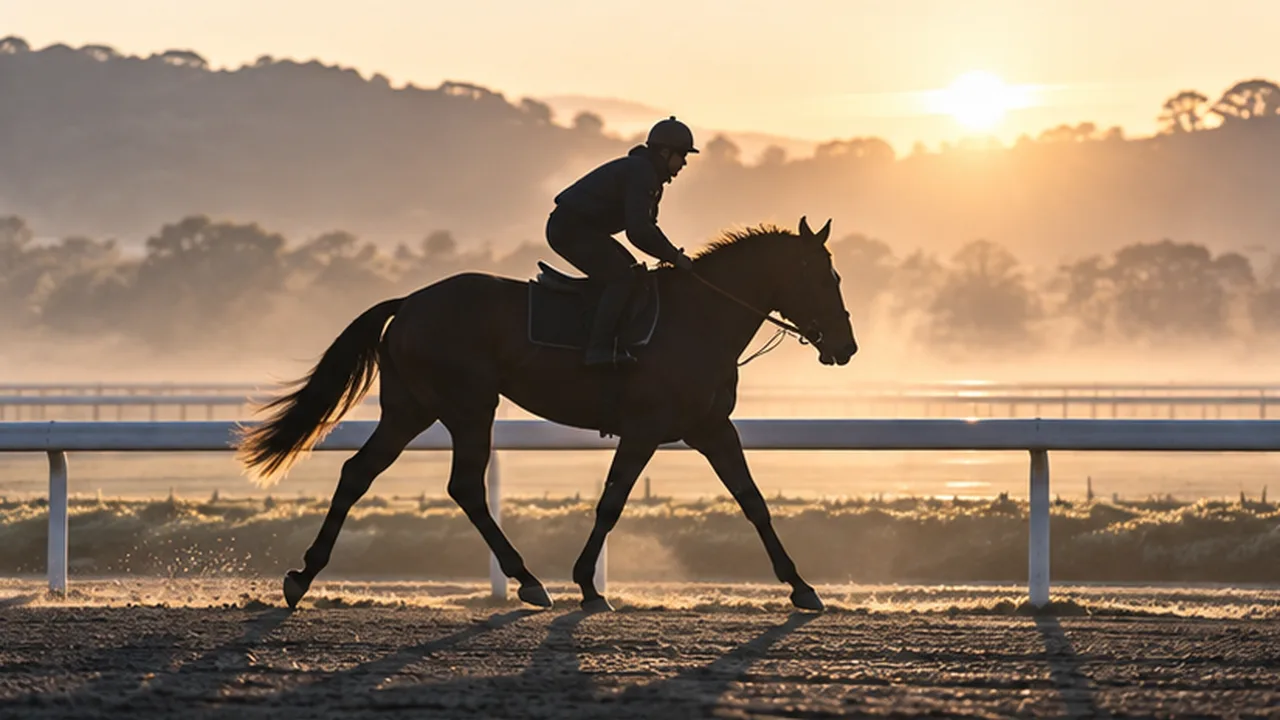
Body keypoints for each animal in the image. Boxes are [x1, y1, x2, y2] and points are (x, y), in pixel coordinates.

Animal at [235, 216, 858, 613]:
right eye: (823, 277)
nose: (847, 347)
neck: (699, 318)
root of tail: (409, 302)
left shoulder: (710, 428)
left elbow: (753, 501)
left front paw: (802, 587)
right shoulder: (645, 428)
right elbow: (611, 503)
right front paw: (588, 585)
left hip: (411, 407)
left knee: (360, 473)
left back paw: (303, 576)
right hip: (468, 405)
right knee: (463, 485)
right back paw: (529, 581)